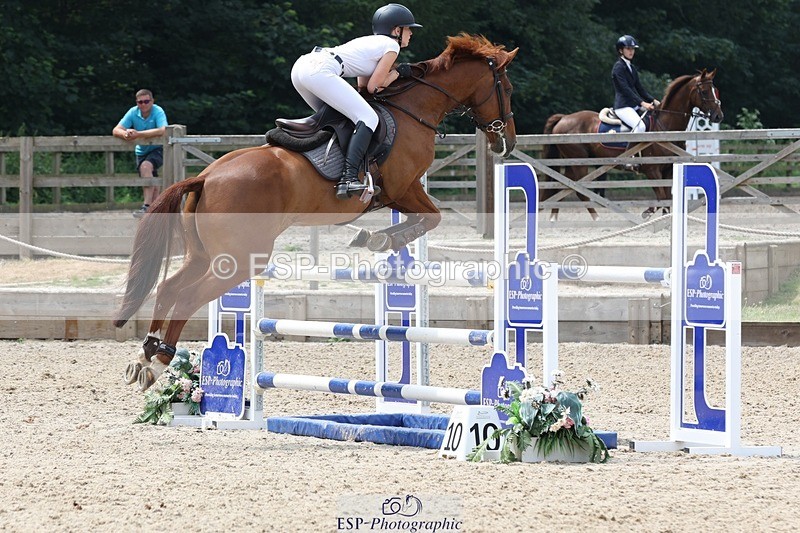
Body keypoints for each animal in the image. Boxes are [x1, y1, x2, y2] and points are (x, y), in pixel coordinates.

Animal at [113, 33, 518, 391]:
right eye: (506, 87)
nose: (508, 142)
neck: (414, 110)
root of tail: (206, 177)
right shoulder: (404, 188)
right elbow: (431, 217)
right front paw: (380, 238)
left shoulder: (401, 192)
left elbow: (426, 219)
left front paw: (374, 237)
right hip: (240, 260)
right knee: (186, 296)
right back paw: (159, 362)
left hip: (205, 254)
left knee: (169, 287)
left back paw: (144, 356)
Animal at [542, 68, 723, 220]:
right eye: (704, 91)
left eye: (716, 91)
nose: (718, 116)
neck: (665, 125)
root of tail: (563, 118)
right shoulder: (652, 170)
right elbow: (662, 198)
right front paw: (648, 213)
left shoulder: (668, 170)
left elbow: (667, 199)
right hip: (579, 164)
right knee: (578, 192)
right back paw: (596, 218)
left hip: (574, 163)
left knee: (564, 187)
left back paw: (554, 218)